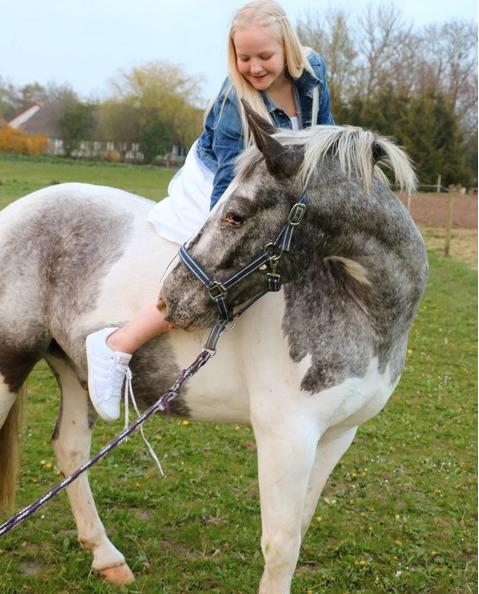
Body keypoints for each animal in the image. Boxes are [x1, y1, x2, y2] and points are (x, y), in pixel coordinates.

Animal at [0, 108, 430, 588]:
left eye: (237, 215)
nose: (168, 297)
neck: (363, 309)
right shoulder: (287, 435)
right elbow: (281, 547)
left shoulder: (338, 434)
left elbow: (299, 527)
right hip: (9, 363)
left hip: (74, 373)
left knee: (71, 450)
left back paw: (106, 556)